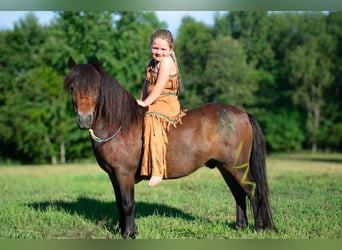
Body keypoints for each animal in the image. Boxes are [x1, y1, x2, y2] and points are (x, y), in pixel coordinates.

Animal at [64, 57, 276, 238]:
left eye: (96, 87)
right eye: (72, 88)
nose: (84, 120)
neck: (121, 124)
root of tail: (243, 114)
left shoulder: (124, 174)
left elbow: (127, 203)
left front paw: (128, 234)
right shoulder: (114, 175)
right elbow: (119, 203)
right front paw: (127, 230)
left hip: (237, 167)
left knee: (253, 191)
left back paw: (259, 228)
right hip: (225, 167)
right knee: (239, 193)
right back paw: (241, 226)